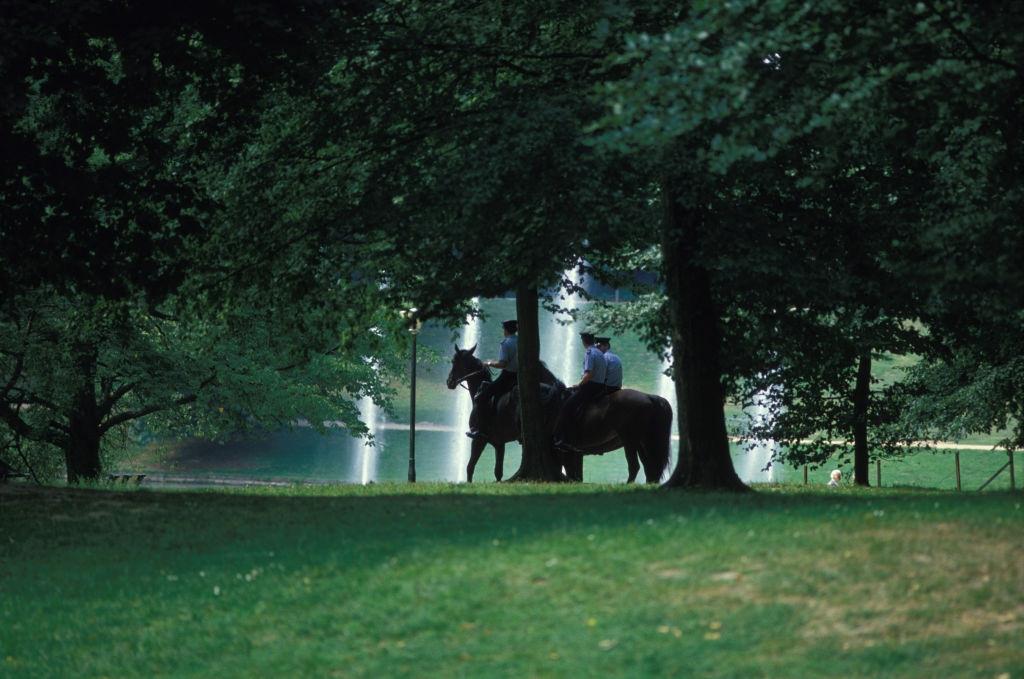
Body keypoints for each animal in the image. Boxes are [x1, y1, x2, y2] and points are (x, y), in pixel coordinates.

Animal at [446, 346, 671, 483]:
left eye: (455, 362)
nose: (449, 382)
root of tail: (650, 397)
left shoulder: (480, 439)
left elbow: (470, 466)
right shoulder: (501, 443)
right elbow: (497, 471)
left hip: (631, 441)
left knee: (635, 467)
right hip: (641, 442)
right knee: (649, 469)